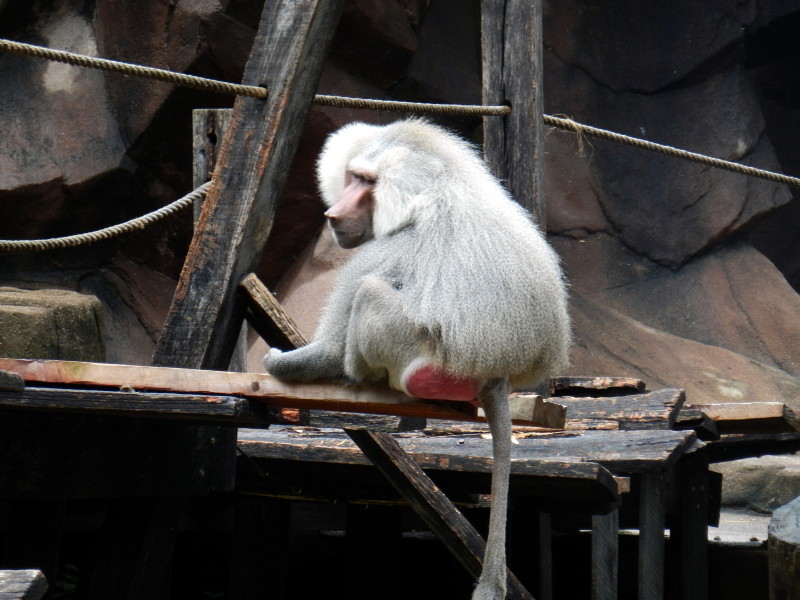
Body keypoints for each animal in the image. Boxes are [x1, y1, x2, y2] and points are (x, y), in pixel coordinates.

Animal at [265, 119, 570, 600]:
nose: (332, 217)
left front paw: (280, 359)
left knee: (370, 295)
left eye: (367, 182)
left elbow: (331, 346)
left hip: (423, 348)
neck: (437, 186)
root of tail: (494, 375)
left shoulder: (393, 245)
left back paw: (367, 378)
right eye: (352, 176)